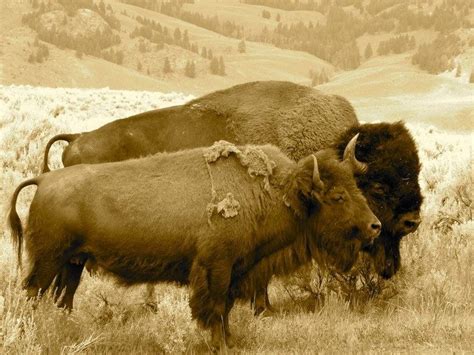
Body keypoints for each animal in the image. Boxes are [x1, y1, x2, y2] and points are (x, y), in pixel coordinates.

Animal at [10, 138, 382, 350]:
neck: (275, 192)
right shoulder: (216, 267)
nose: (374, 226)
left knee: (62, 299)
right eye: (337, 196)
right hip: (47, 262)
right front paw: (220, 345)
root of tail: (44, 179)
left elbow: (226, 309)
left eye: (357, 187)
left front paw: (231, 340)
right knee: (32, 296)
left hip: (71, 264)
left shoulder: (236, 270)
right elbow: (214, 308)